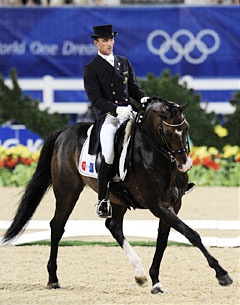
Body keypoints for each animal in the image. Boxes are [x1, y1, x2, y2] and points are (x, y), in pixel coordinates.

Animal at [3, 97, 232, 292]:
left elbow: (163, 241)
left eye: (186, 128)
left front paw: (155, 281)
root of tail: (64, 131)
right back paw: (53, 279)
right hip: (67, 190)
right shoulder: (158, 206)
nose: (184, 164)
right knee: (57, 226)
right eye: (167, 132)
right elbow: (192, 234)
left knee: (113, 226)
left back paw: (140, 274)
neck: (157, 157)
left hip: (117, 199)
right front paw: (222, 274)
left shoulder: (173, 205)